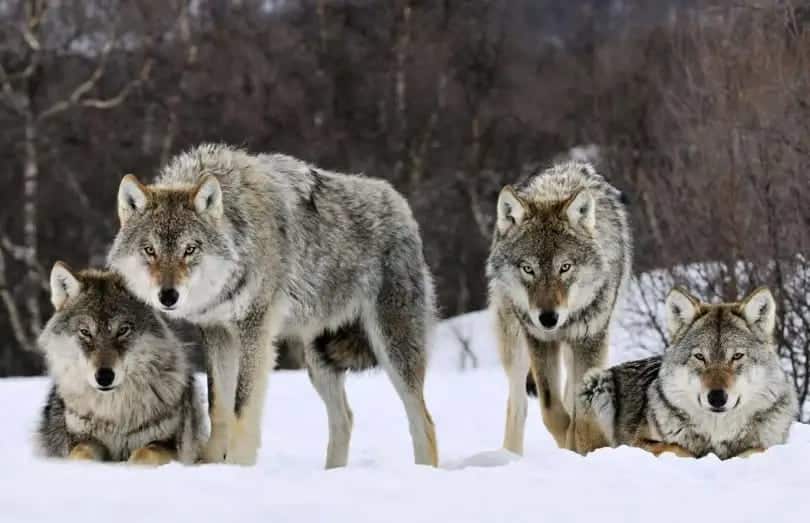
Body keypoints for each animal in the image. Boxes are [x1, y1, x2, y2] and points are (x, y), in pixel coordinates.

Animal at [37, 264, 205, 464]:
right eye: (85, 332)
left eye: (123, 330)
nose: (104, 377)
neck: (114, 413)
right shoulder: (82, 439)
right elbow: (81, 454)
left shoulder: (167, 444)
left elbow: (144, 454)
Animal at [109, 144, 436, 470]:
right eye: (150, 250)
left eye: (190, 249)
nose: (168, 296)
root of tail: (400, 204)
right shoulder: (216, 332)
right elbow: (218, 406)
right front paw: (211, 463)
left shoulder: (255, 329)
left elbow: (242, 407)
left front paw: (238, 465)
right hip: (318, 360)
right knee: (345, 418)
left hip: (392, 349)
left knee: (424, 422)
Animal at [482, 163, 628, 454]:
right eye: (528, 269)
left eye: (565, 267)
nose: (548, 318)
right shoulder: (539, 340)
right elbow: (552, 412)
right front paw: (568, 446)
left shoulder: (590, 340)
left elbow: (579, 415)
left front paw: (581, 447)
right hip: (515, 344)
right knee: (517, 405)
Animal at [580, 284, 796, 460]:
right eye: (700, 357)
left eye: (737, 356)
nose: (717, 397)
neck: (717, 433)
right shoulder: (638, 442)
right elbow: (676, 447)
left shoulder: (770, 444)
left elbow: (757, 449)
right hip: (596, 382)